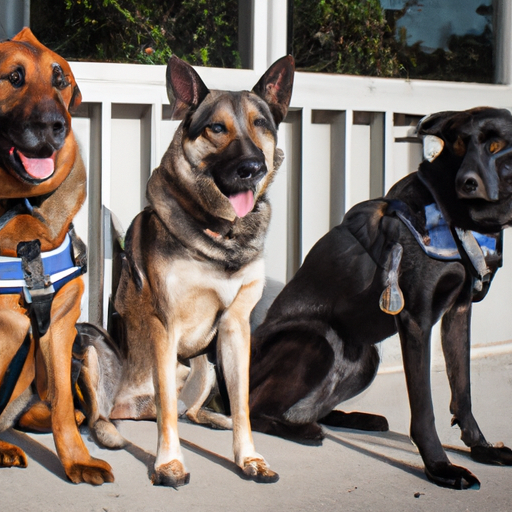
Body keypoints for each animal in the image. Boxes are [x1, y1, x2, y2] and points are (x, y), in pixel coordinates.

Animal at [0, 28, 114, 484]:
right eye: (13, 77)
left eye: (60, 80)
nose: (54, 127)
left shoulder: (60, 326)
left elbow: (65, 406)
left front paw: (77, 460)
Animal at [244, 107, 512, 488]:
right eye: (460, 142)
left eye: (496, 145)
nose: (468, 182)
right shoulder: (416, 319)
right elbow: (424, 407)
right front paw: (440, 467)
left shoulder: (458, 312)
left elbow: (463, 391)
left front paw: (482, 448)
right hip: (316, 341)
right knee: (253, 408)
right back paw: (303, 431)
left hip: (366, 358)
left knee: (305, 408)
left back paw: (353, 419)